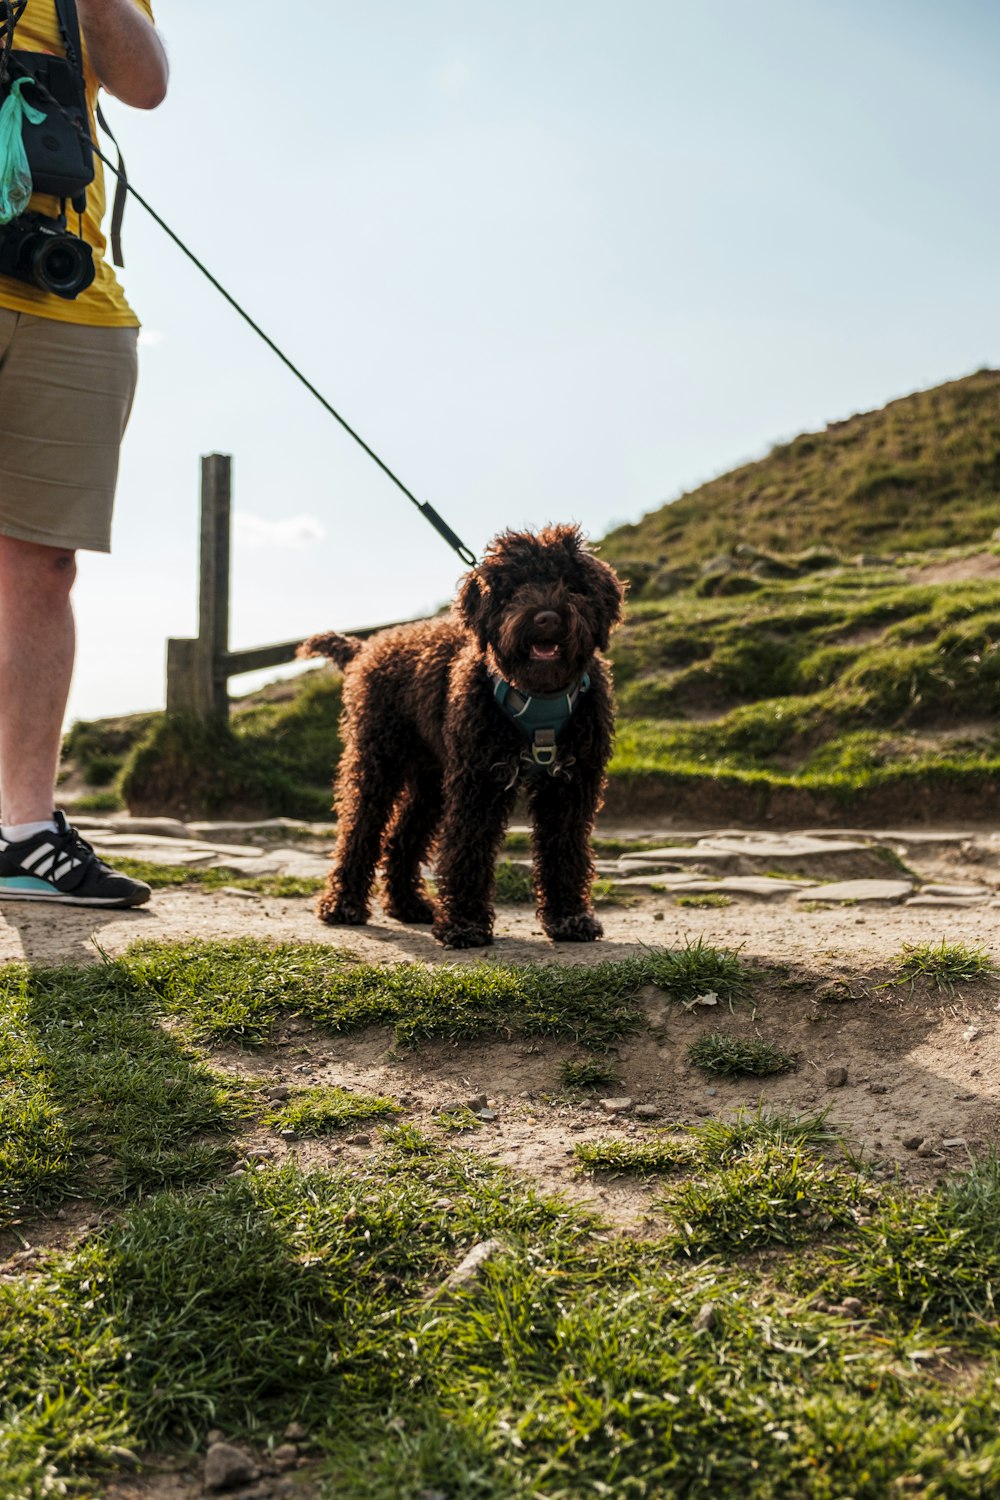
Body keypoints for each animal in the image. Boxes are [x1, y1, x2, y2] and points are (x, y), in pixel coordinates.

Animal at [299, 528, 626, 948]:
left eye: (572, 584)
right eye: (515, 587)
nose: (547, 617)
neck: (539, 695)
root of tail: (367, 646)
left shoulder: (570, 786)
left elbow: (564, 849)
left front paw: (569, 918)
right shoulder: (478, 781)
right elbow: (467, 848)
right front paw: (464, 925)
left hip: (432, 779)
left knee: (402, 838)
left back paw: (408, 904)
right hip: (378, 762)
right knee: (360, 829)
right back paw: (343, 905)